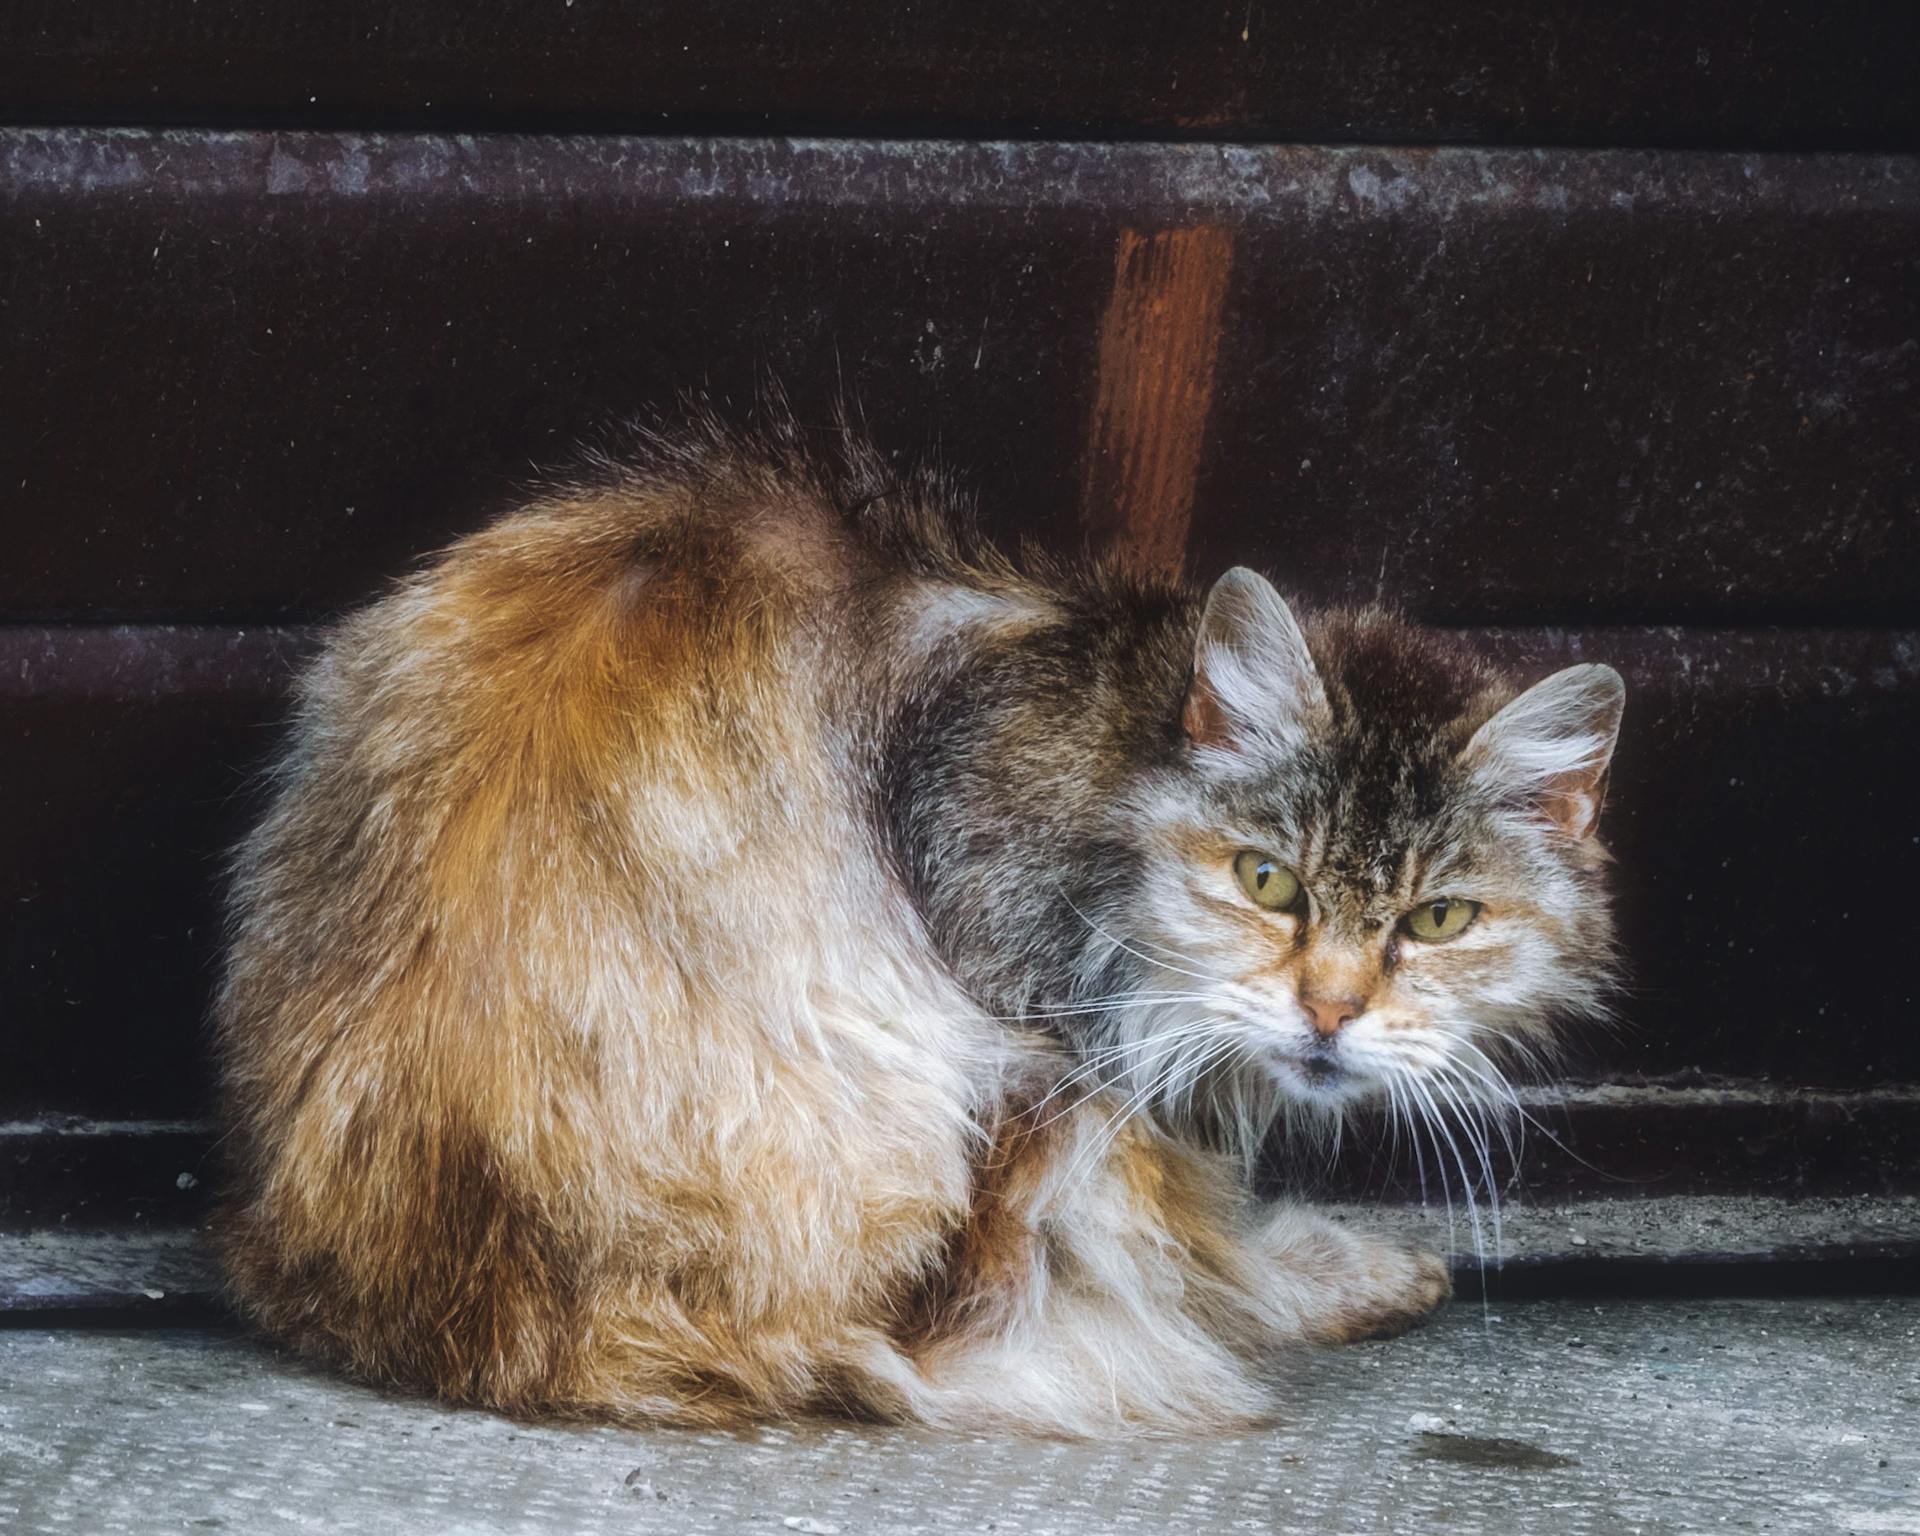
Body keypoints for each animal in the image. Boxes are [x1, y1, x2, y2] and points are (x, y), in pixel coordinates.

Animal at [210, 414, 1620, 1436]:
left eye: (1440, 919)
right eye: (1268, 882)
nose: (1330, 1009)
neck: (1112, 724)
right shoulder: (1049, 1021)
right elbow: (1197, 1245)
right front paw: (1321, 1276)